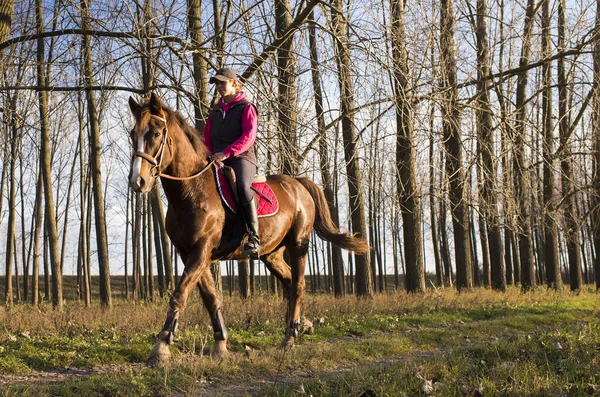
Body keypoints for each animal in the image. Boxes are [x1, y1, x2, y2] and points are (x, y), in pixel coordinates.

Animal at [129, 93, 368, 366]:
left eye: (156, 134)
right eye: (132, 134)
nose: (138, 181)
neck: (192, 190)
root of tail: (298, 183)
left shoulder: (201, 251)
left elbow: (180, 294)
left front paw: (160, 348)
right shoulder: (189, 253)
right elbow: (211, 297)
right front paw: (220, 344)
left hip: (299, 243)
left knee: (297, 285)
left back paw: (289, 338)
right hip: (271, 254)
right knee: (288, 282)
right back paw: (300, 325)